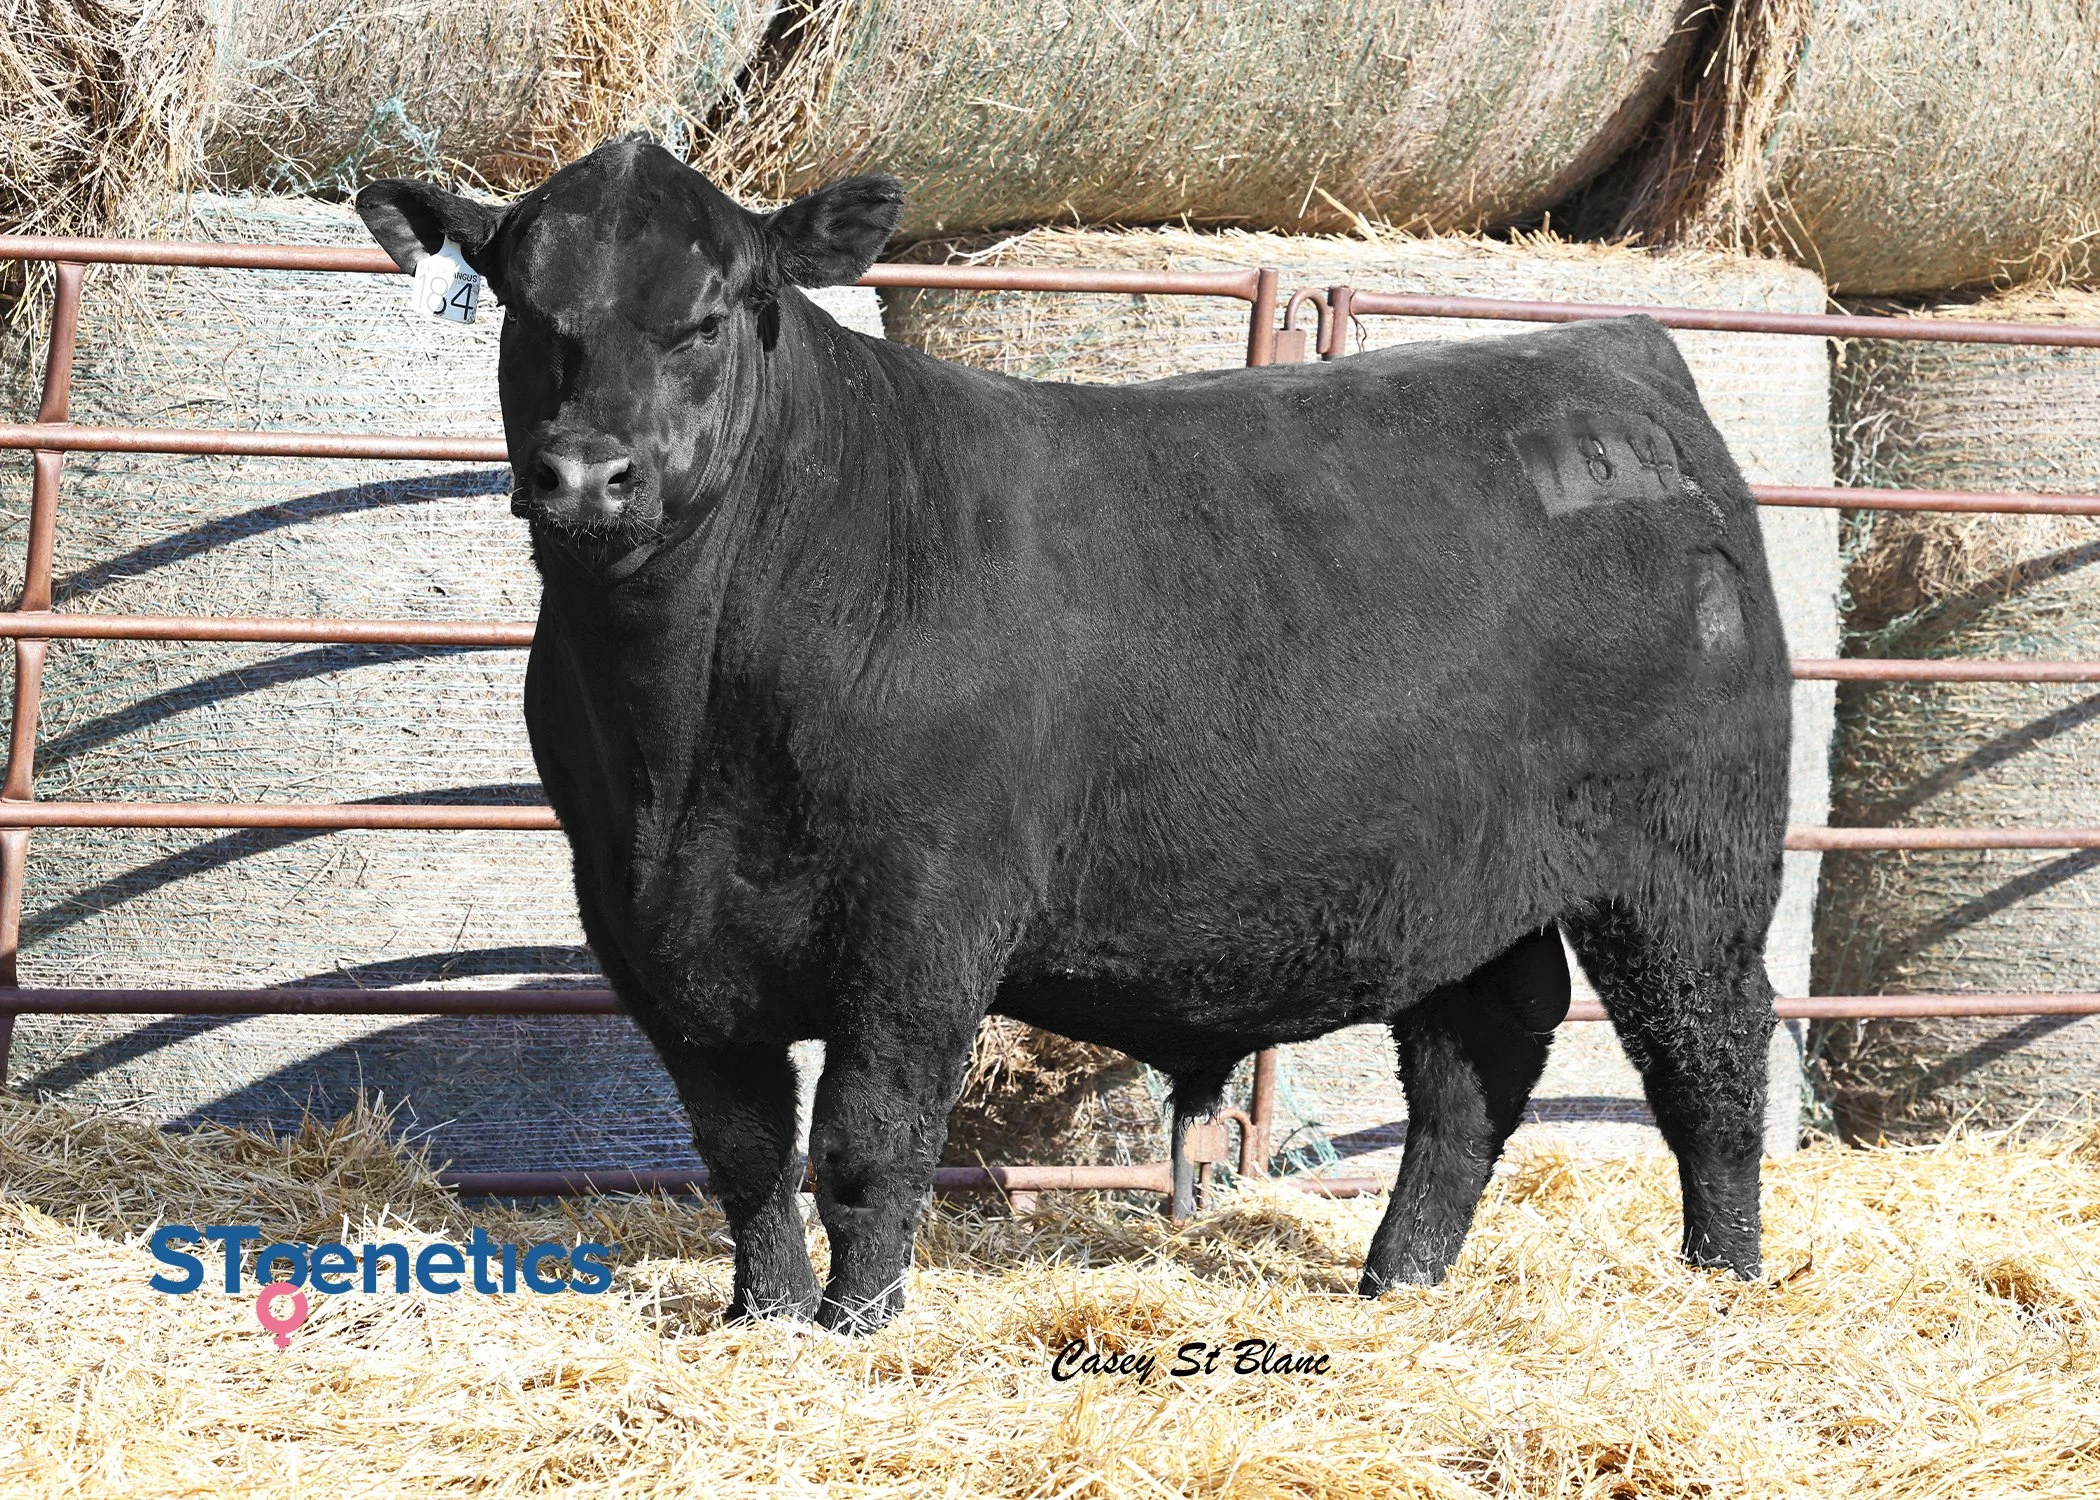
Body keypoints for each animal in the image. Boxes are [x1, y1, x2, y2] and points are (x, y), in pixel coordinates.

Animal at [356, 136, 1791, 1334]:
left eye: (706, 317)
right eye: (531, 310)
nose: (587, 475)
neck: (684, 740)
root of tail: (1612, 357)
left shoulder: (925, 916)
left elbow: (869, 1145)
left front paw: (854, 1328)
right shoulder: (639, 920)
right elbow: (745, 1147)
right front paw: (760, 1317)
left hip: (1689, 854)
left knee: (1710, 1057)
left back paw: (1722, 1277)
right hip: (1461, 877)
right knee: (1478, 1056)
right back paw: (1401, 1280)